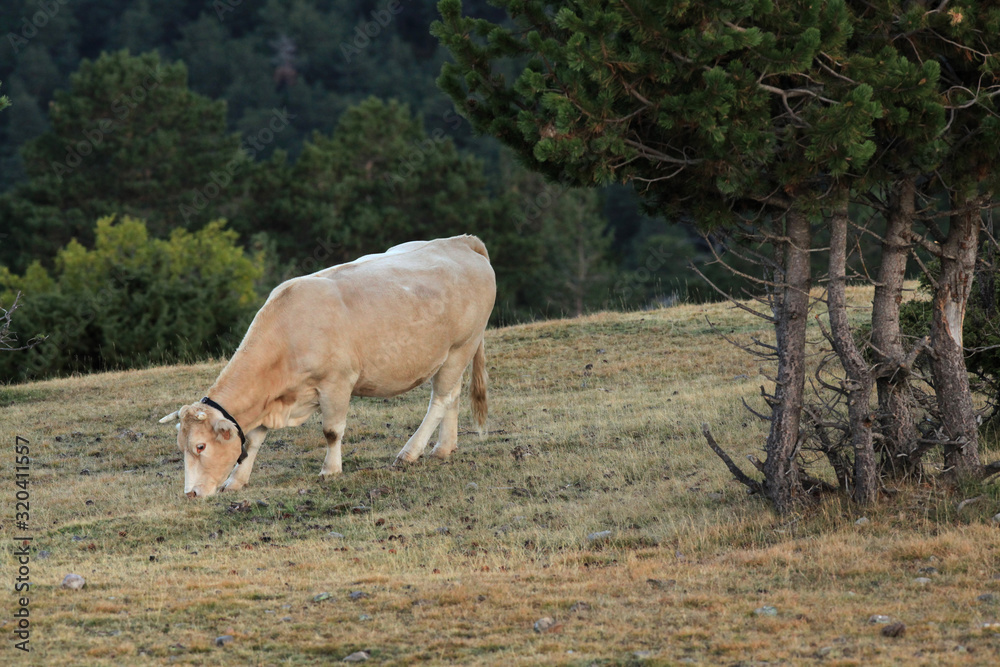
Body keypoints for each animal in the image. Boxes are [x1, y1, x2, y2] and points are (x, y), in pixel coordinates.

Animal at [159, 235, 496, 498]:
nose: (190, 493)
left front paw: (331, 470)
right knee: (452, 395)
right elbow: (253, 440)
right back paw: (444, 448)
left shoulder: (337, 383)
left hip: (461, 346)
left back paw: (409, 453)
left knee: (440, 399)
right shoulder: (273, 396)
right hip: (453, 354)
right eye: (181, 446)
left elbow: (332, 431)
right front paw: (236, 481)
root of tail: (460, 242)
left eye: (200, 446)